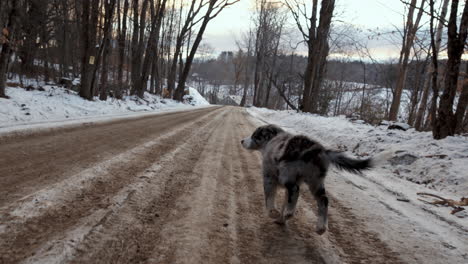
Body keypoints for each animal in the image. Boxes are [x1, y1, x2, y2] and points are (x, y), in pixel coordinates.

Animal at [241, 125, 376, 234]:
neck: (272, 141)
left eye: (255, 136)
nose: (242, 140)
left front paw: (273, 213)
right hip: (316, 180)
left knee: (295, 189)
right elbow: (285, 201)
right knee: (323, 199)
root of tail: (320, 150)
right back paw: (320, 227)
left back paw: (290, 213)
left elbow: (269, 197)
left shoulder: (269, 176)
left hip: (288, 173)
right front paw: (281, 220)